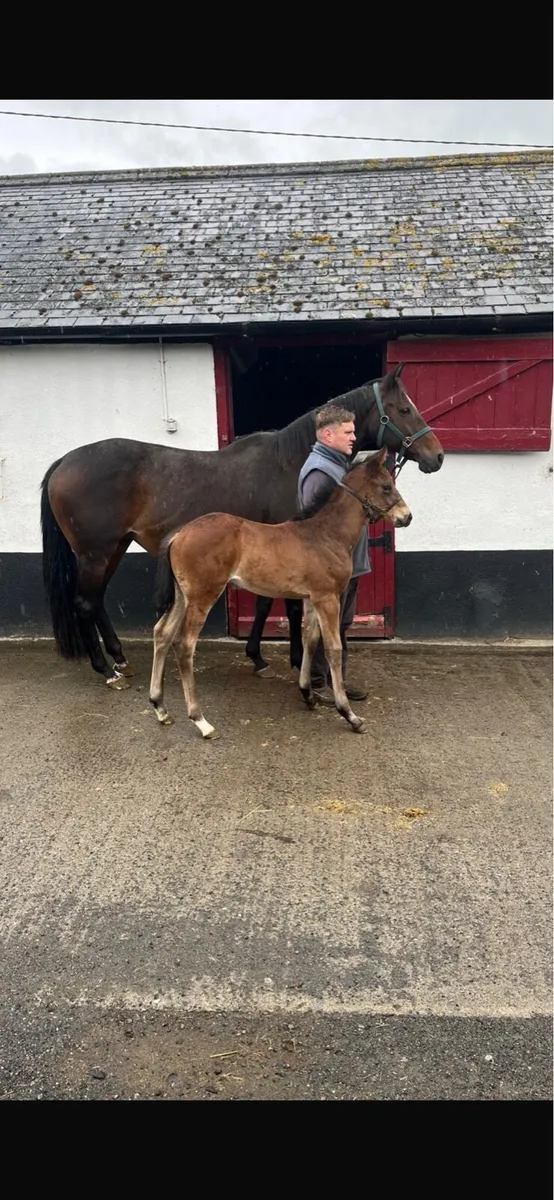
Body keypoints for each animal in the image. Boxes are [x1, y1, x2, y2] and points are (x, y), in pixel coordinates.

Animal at [40, 365, 443, 689]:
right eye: (404, 409)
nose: (437, 456)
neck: (290, 462)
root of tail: (64, 461)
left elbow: (265, 603)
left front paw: (258, 656)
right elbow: (290, 609)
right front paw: (298, 661)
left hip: (115, 548)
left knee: (96, 601)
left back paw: (119, 659)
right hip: (95, 553)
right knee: (85, 602)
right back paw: (105, 669)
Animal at [149, 448, 411, 739]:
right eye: (387, 486)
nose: (407, 516)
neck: (326, 534)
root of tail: (179, 534)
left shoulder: (312, 598)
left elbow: (310, 640)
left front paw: (308, 694)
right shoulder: (328, 598)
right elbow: (333, 648)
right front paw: (349, 715)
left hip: (182, 596)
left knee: (162, 633)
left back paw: (160, 707)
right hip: (202, 596)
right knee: (184, 645)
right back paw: (201, 721)